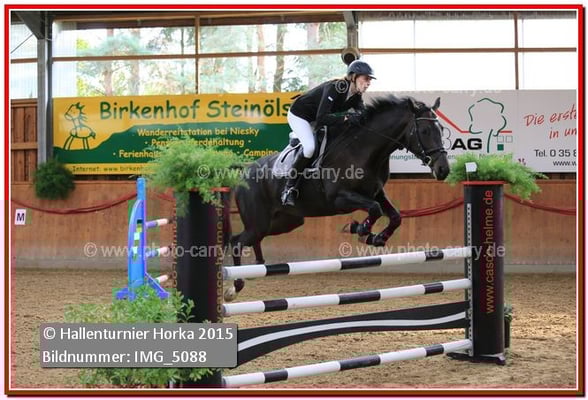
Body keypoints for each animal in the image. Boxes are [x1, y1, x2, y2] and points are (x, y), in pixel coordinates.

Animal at [224, 95, 450, 301]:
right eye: (425, 131)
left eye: (441, 130)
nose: (443, 170)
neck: (365, 150)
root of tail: (244, 172)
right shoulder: (340, 199)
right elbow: (374, 209)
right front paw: (359, 230)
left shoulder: (376, 192)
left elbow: (395, 216)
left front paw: (376, 237)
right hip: (259, 222)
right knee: (237, 242)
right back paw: (233, 287)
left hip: (284, 222)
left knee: (251, 239)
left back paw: (256, 269)